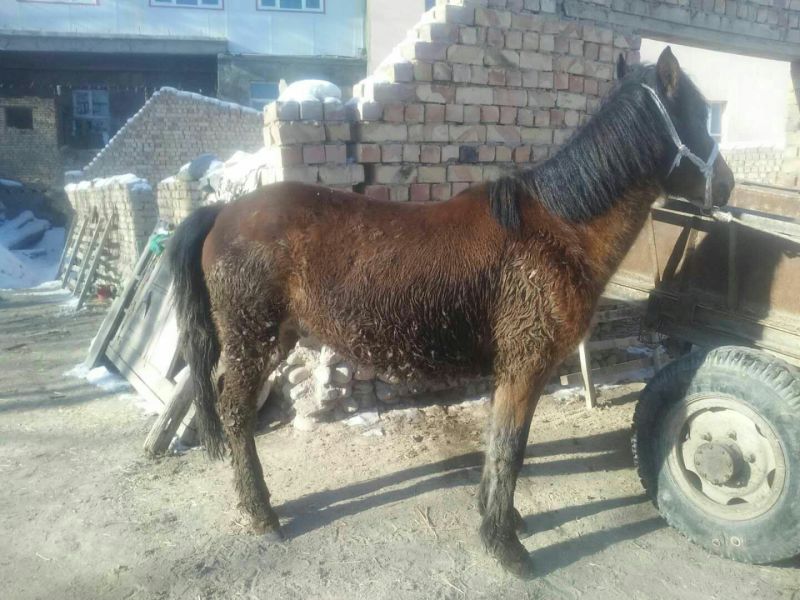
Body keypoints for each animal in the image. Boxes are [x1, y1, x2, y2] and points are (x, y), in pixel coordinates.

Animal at [167, 47, 734, 578]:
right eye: (697, 113)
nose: (727, 184)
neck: (558, 231)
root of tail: (224, 210)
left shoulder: (511, 371)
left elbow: (499, 447)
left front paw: (503, 518)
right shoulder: (525, 369)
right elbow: (509, 449)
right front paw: (505, 544)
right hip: (252, 338)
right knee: (236, 412)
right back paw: (262, 513)